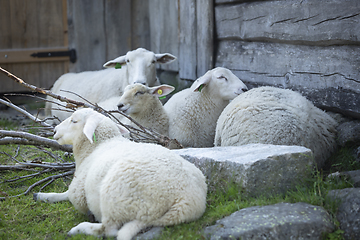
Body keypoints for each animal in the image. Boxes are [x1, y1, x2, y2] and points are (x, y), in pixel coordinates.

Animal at [35, 108, 208, 240]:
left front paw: (45, 196)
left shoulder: (79, 189)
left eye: (74, 121)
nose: (54, 130)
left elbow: (68, 195)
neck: (98, 146)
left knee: (108, 229)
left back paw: (79, 229)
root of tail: (185, 198)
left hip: (116, 196)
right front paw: (42, 196)